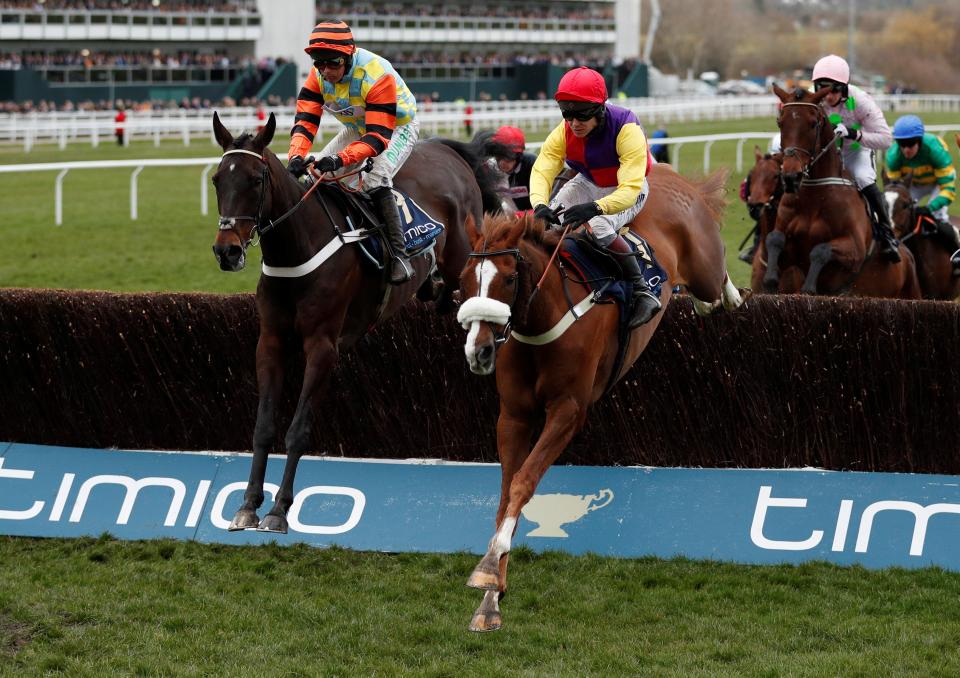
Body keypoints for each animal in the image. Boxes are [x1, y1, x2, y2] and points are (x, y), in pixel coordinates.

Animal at [210, 113, 496, 536]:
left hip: (463, 252)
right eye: (217, 180)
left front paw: (280, 510)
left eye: (256, 180)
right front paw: (247, 505)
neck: (299, 247)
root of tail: (446, 149)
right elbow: (263, 427)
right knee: (441, 292)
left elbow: (298, 429)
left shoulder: (323, 346)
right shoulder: (271, 341)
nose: (226, 251)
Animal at [456, 163, 744, 632]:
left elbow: (524, 482)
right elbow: (504, 495)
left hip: (698, 260)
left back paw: (728, 296)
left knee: (714, 281)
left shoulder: (569, 411)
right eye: (464, 281)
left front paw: (486, 573)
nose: (478, 352)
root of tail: (666, 173)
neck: (543, 320)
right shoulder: (513, 415)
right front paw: (491, 597)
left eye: (510, 278)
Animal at [760, 84, 920, 298]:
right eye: (780, 122)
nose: (791, 177)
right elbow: (774, 239)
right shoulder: (789, 251)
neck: (813, 199)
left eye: (813, 124)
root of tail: (908, 255)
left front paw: (809, 287)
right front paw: (770, 280)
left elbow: (820, 250)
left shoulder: (855, 250)